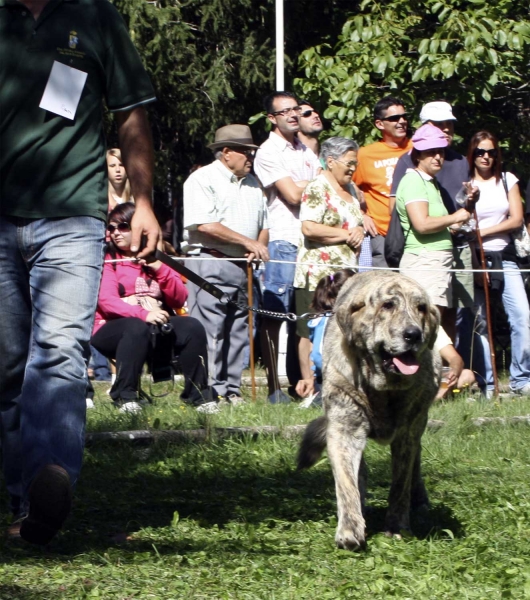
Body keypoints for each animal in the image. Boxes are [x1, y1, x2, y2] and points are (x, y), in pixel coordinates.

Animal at [296, 270, 438, 548]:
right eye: (388, 305)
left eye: (422, 308)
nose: (413, 334)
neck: (382, 387)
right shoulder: (344, 428)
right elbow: (346, 482)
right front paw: (350, 528)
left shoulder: (408, 432)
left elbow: (400, 483)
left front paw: (396, 526)